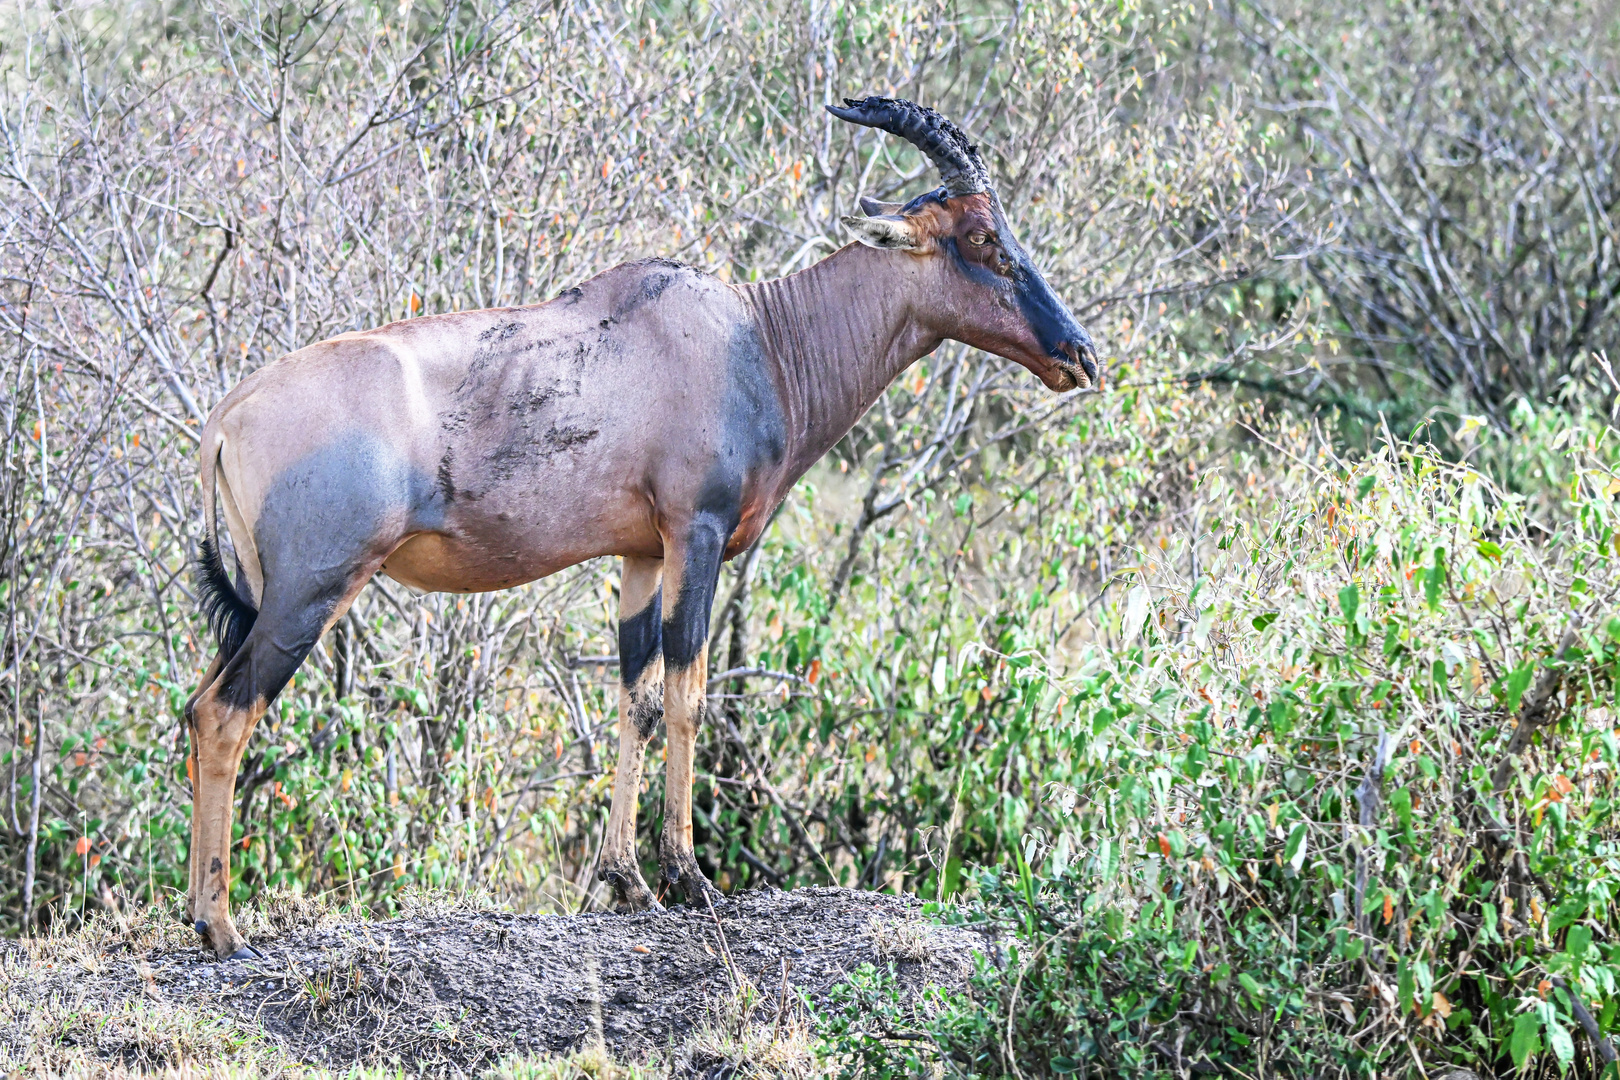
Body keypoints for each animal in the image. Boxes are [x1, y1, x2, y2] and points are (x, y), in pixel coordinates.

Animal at [189, 97, 1101, 958]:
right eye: (982, 237)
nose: (1080, 356)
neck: (753, 336)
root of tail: (228, 414)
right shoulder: (696, 535)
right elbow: (688, 694)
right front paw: (689, 877)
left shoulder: (639, 554)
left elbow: (637, 699)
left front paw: (626, 880)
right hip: (312, 591)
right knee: (225, 715)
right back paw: (225, 930)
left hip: (267, 595)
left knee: (199, 704)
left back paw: (204, 919)